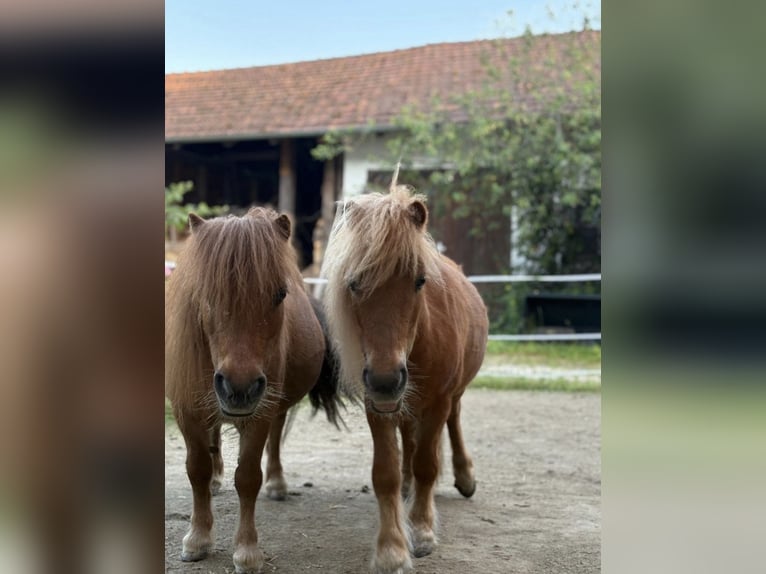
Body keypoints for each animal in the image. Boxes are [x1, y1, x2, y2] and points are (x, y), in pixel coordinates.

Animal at [165, 207, 345, 574]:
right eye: (206, 295)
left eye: (280, 294)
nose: (239, 387)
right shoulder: (186, 411)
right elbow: (197, 470)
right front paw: (197, 539)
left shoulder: (259, 413)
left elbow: (248, 477)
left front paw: (247, 551)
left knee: (274, 438)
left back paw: (277, 483)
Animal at [321, 181, 489, 573]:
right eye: (354, 283)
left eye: (419, 281)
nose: (386, 379)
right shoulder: (377, 406)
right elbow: (386, 473)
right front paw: (392, 548)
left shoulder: (439, 400)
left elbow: (428, 463)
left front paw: (423, 530)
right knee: (409, 440)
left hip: (451, 396)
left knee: (453, 423)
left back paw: (464, 475)